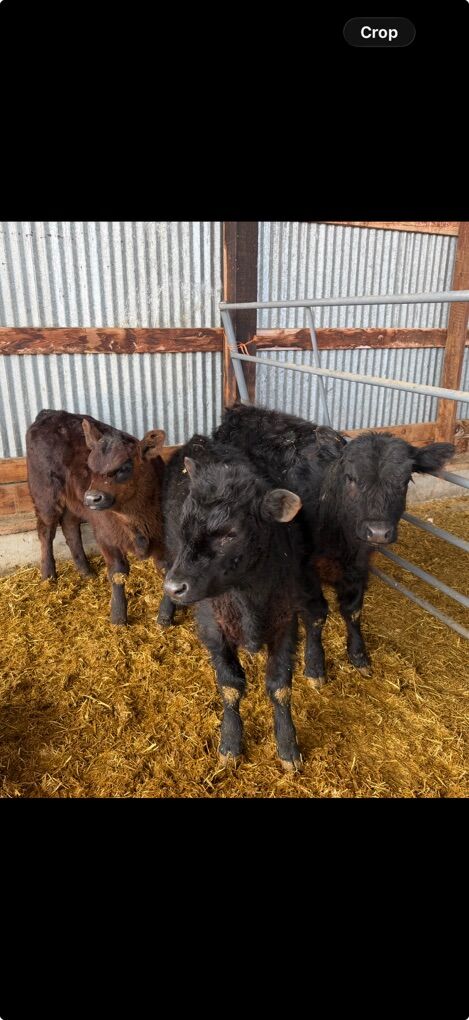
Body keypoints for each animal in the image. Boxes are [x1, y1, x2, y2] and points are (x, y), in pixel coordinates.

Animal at [26, 409, 166, 624]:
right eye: (90, 468)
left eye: (125, 467)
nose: (91, 498)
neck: (136, 518)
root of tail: (50, 414)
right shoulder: (105, 535)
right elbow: (118, 572)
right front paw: (118, 617)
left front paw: (167, 616)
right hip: (45, 495)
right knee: (46, 532)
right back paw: (48, 575)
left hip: (73, 502)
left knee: (70, 527)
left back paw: (86, 570)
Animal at [159, 434, 327, 769]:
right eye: (185, 524)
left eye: (230, 534)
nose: (174, 586)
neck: (248, 598)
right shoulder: (213, 628)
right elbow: (230, 686)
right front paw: (230, 743)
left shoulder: (284, 623)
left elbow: (280, 686)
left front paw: (288, 745)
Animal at [214, 403, 455, 685]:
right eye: (350, 477)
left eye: (405, 480)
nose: (378, 532)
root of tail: (241, 408)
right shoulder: (304, 567)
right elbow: (317, 613)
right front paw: (315, 665)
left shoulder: (360, 564)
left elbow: (353, 610)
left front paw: (359, 656)